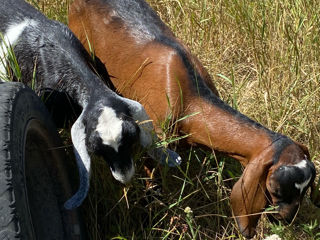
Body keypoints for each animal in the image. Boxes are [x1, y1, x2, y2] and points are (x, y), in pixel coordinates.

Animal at [68, 0, 318, 236]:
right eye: (275, 190)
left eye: (306, 189)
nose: (287, 219)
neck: (190, 99)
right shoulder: (154, 144)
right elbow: (154, 185)